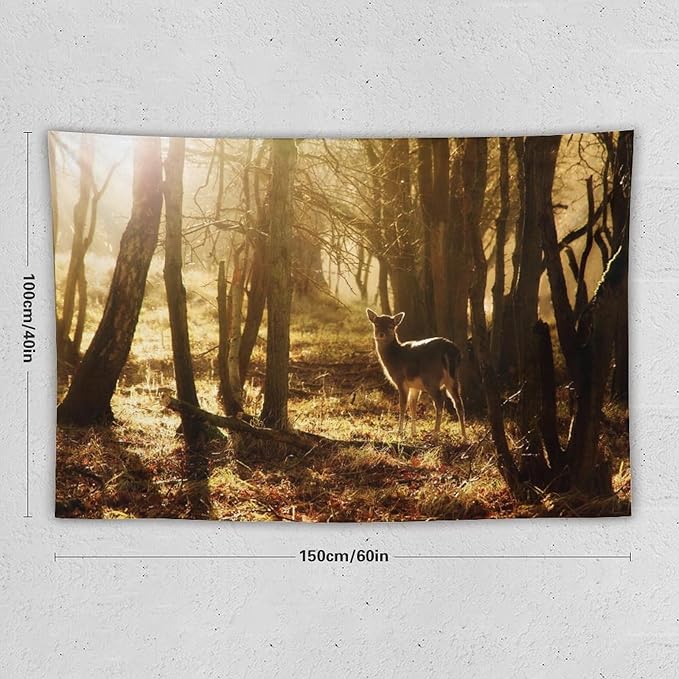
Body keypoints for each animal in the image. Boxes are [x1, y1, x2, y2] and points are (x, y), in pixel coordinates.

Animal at [366, 308, 466, 440]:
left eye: (391, 326)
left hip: (431, 379)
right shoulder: (414, 386)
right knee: (459, 403)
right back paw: (464, 436)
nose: (381, 334)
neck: (394, 357)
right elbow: (413, 405)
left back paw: (435, 434)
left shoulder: (401, 380)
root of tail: (450, 351)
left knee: (440, 403)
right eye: (376, 324)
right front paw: (413, 432)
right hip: (453, 379)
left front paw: (400, 432)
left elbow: (402, 405)